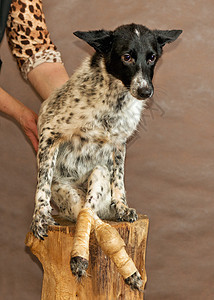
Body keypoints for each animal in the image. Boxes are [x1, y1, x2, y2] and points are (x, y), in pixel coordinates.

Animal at [30, 22, 181, 290]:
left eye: (151, 57)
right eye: (127, 57)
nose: (145, 91)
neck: (115, 101)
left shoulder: (119, 145)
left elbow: (119, 181)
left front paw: (122, 206)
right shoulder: (50, 134)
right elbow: (42, 184)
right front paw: (40, 216)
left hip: (99, 173)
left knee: (90, 212)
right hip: (68, 194)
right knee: (87, 215)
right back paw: (80, 258)